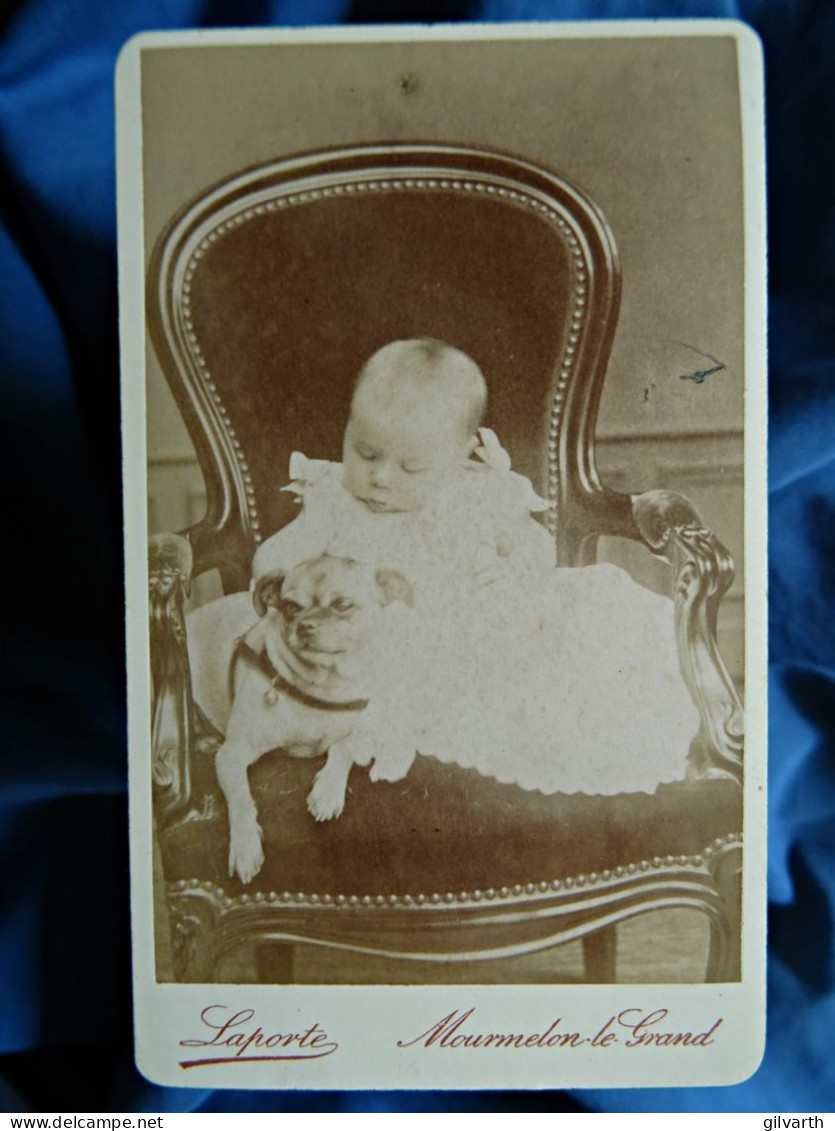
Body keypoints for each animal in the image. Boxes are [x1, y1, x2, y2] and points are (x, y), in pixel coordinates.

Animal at [209, 554, 414, 882]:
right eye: (290, 607)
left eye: (342, 605)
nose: (305, 625)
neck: (320, 686)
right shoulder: (231, 754)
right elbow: (241, 799)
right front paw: (244, 845)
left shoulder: (358, 730)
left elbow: (342, 748)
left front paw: (327, 791)